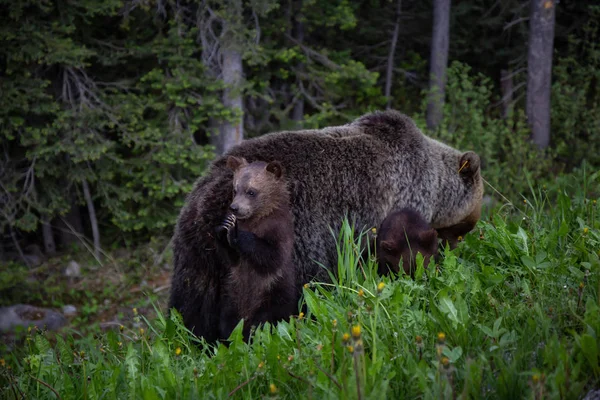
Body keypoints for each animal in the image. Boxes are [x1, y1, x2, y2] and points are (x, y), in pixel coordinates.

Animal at [217, 156, 298, 340]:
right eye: (235, 189)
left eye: (251, 191)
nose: (234, 208)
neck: (257, 219)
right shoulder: (236, 268)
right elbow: (232, 257)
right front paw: (225, 227)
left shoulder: (278, 230)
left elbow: (271, 256)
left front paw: (236, 233)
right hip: (232, 296)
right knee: (228, 323)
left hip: (272, 293)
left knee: (267, 320)